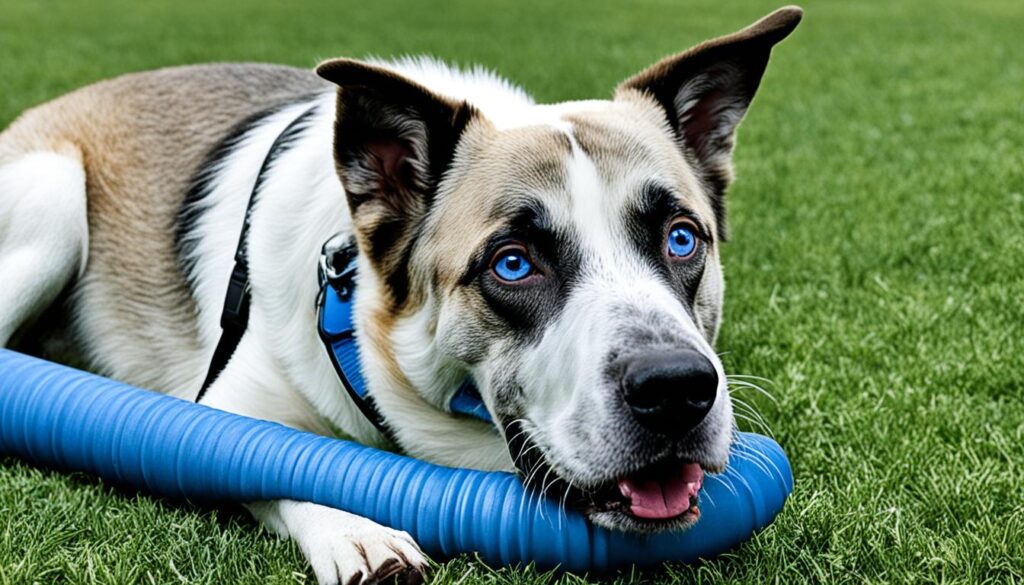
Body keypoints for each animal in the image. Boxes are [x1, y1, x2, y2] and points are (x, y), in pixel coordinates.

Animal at [0, 5, 798, 585]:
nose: (677, 388)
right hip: (54, 196)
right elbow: (267, 457)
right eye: (513, 265)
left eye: (682, 240)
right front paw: (355, 532)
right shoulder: (220, 407)